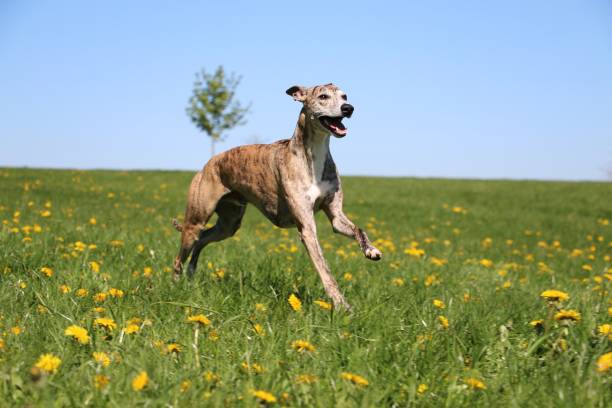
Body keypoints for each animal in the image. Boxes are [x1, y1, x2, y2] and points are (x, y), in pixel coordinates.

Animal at [172, 83, 380, 310]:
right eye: (323, 96)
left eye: (344, 96)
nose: (348, 108)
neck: (313, 154)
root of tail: (208, 164)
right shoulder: (307, 228)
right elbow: (325, 269)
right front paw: (342, 305)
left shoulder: (336, 216)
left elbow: (358, 229)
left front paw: (371, 250)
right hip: (196, 220)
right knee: (181, 255)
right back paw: (176, 285)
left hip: (228, 224)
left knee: (202, 240)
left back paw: (191, 274)